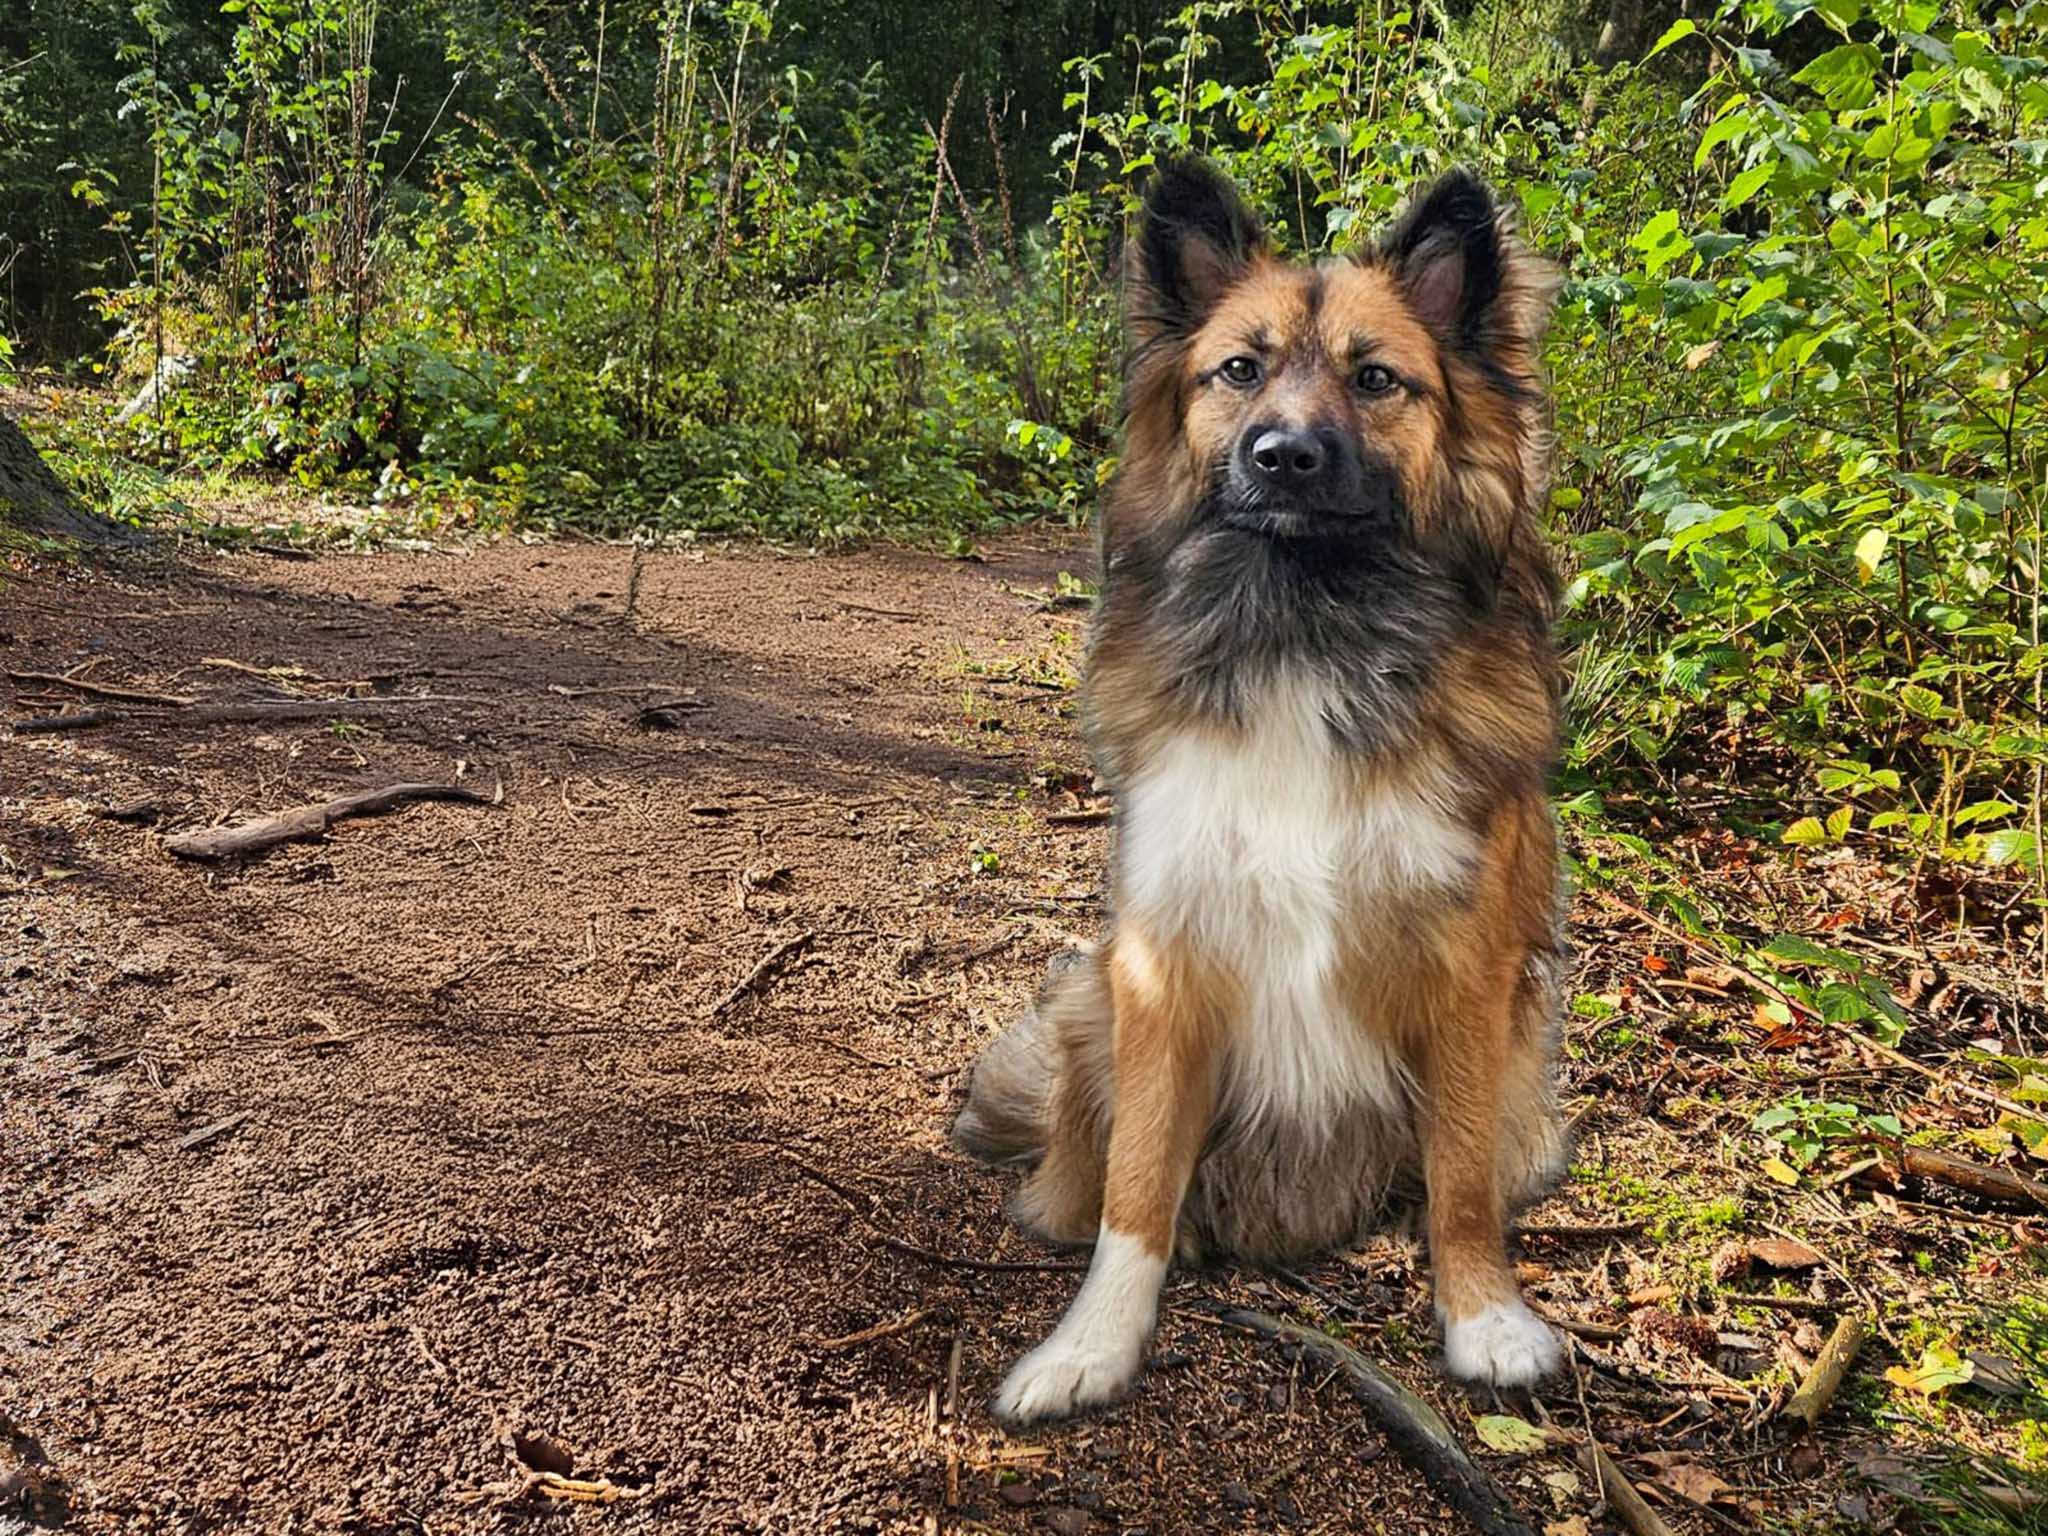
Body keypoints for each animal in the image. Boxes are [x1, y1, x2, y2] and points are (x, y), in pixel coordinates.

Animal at [954, 159, 1564, 1433]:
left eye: (1375, 379)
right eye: (1238, 369)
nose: (1283, 453)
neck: (1303, 628)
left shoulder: (1470, 973)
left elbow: (1459, 1180)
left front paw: (1482, 1317)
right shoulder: (1161, 961)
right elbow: (1137, 1185)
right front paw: (1091, 1345)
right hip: (1086, 1004)